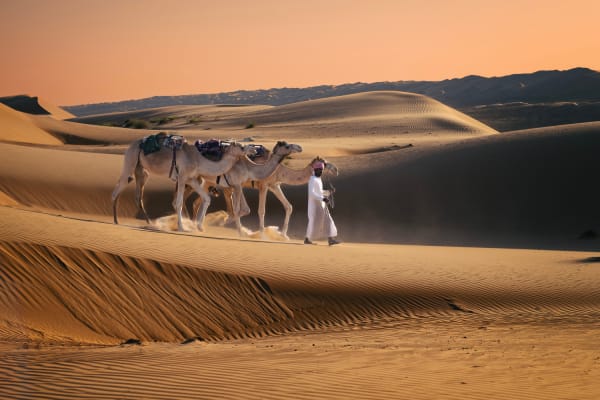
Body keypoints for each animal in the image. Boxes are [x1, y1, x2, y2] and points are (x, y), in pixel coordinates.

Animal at [111, 136, 254, 231]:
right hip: (130, 160)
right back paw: (116, 220)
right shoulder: (182, 176)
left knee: (135, 194)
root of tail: (131, 145)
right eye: (241, 146)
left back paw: (147, 222)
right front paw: (182, 227)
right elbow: (178, 202)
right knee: (117, 189)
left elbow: (206, 198)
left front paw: (199, 226)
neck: (198, 160)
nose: (252, 149)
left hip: (140, 170)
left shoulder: (191, 179)